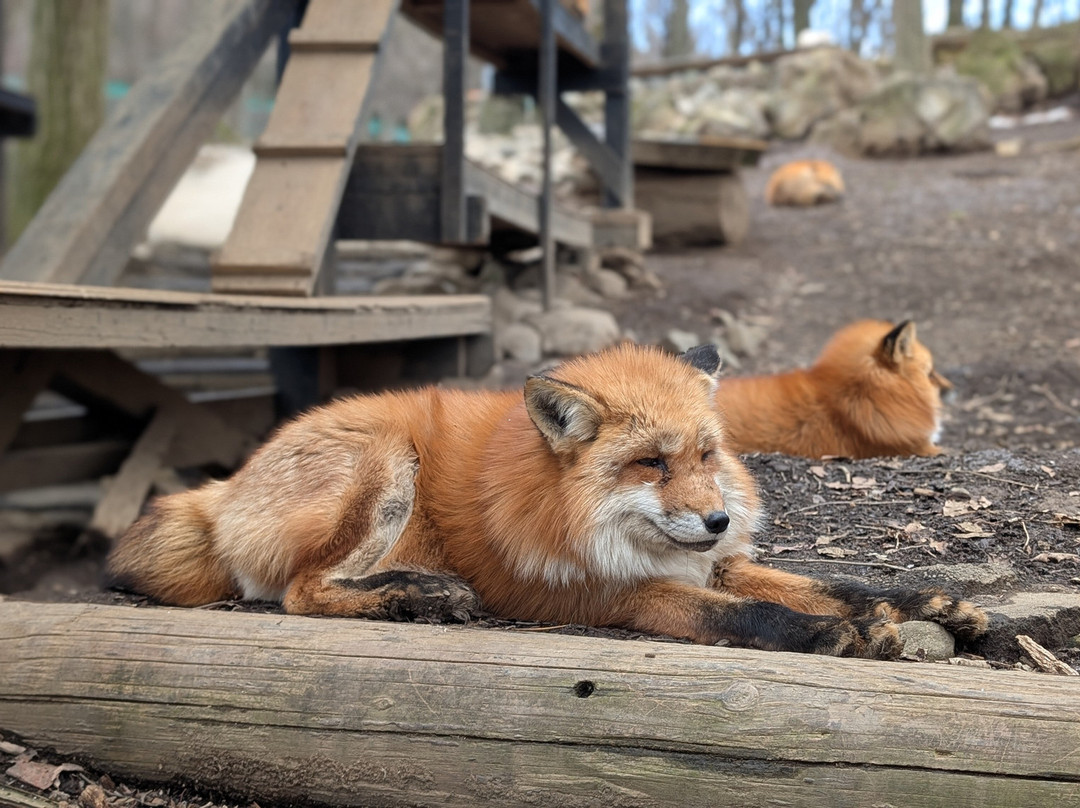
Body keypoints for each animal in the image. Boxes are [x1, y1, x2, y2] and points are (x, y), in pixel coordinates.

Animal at [107, 343, 984, 658]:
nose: (718, 518)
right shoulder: (615, 596)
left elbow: (840, 582)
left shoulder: (716, 565)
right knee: (300, 592)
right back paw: (412, 597)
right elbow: (756, 616)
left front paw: (928, 602)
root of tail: (227, 486)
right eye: (650, 464)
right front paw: (832, 634)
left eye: (705, 455)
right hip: (388, 462)